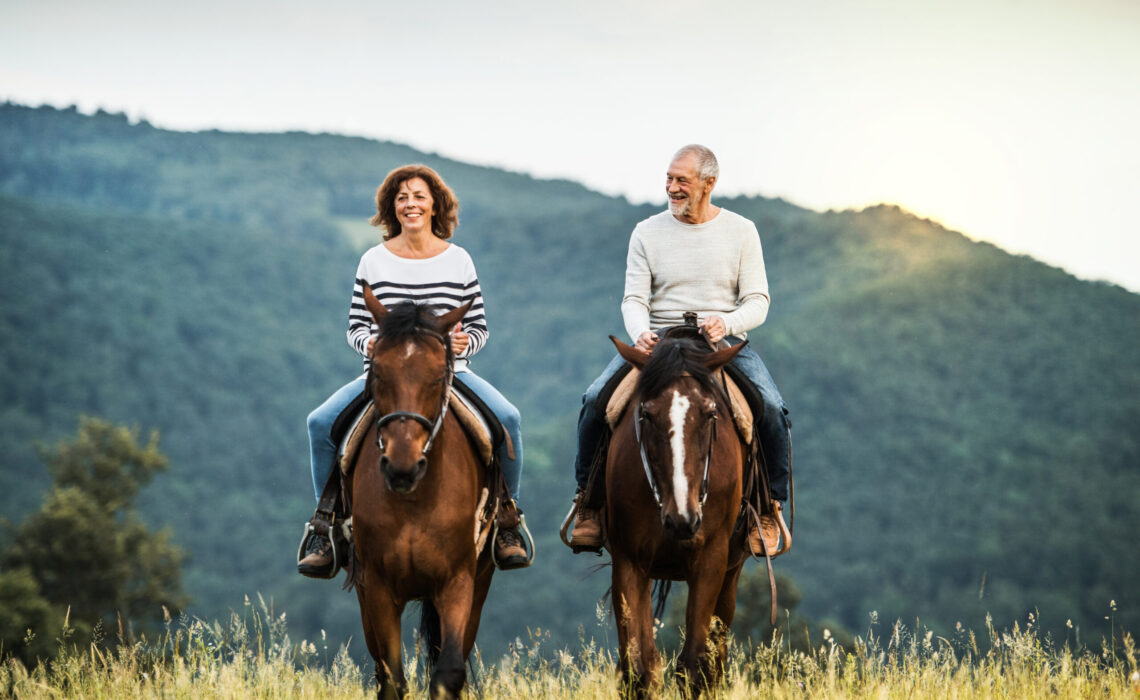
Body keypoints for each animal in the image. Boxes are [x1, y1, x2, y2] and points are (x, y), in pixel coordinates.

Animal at [611, 332, 752, 697]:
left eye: (711, 414)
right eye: (646, 415)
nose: (682, 520)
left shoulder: (711, 560)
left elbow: (694, 667)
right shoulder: (628, 560)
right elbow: (638, 670)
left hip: (732, 571)